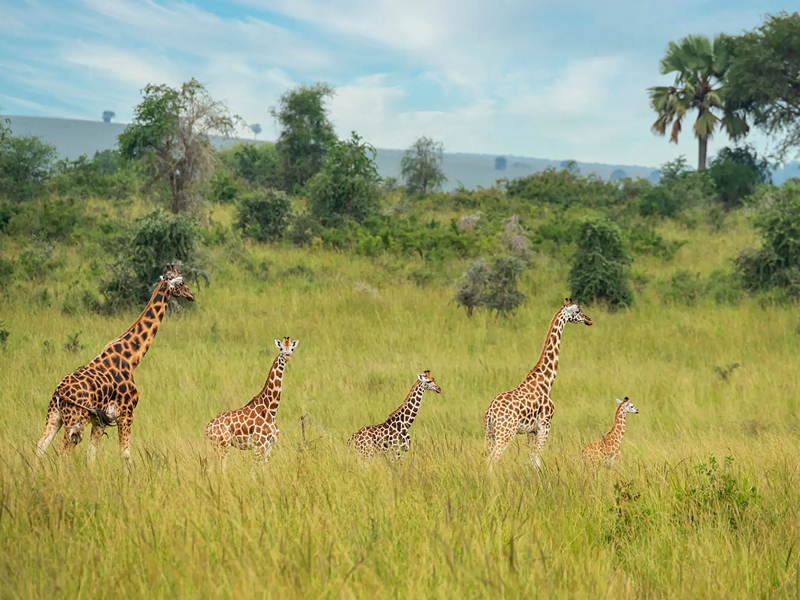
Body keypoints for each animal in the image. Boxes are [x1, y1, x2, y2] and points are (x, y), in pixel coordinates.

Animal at [36, 264, 194, 468]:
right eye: (182, 282)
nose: (191, 295)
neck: (132, 358)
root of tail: (59, 392)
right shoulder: (127, 413)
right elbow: (125, 454)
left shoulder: (101, 420)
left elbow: (91, 454)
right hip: (76, 419)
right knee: (64, 453)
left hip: (55, 415)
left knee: (41, 445)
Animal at [205, 337, 299, 469]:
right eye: (281, 348)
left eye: (292, 348)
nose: (287, 356)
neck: (271, 409)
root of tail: (208, 426)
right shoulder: (259, 445)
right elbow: (253, 470)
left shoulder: (269, 446)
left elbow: (264, 469)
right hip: (223, 444)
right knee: (222, 466)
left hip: (216, 445)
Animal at [484, 298, 592, 467]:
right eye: (577, 311)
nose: (589, 320)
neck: (546, 381)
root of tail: (491, 412)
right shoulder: (545, 425)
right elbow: (537, 459)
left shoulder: (532, 430)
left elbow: (531, 460)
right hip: (505, 432)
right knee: (492, 460)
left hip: (489, 433)